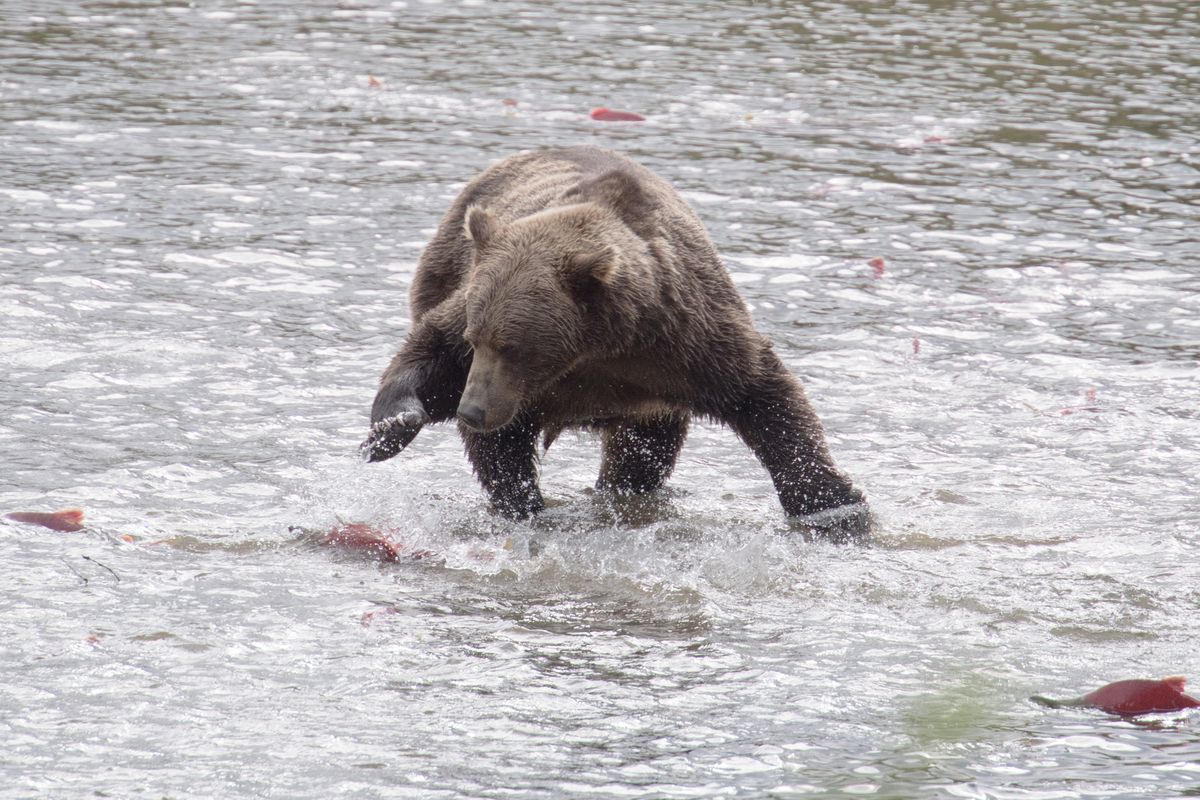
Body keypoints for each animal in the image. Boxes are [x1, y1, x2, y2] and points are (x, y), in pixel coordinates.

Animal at [360, 146, 868, 527]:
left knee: (640, 457)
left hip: (653, 409)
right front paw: (393, 425)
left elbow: (765, 394)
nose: (473, 409)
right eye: (477, 337)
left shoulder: (687, 342)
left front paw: (833, 505)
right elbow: (435, 352)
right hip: (444, 268)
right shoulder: (476, 323)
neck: (596, 346)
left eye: (511, 346)